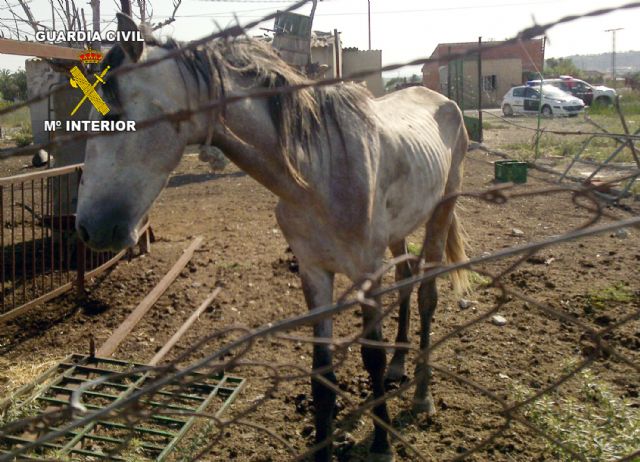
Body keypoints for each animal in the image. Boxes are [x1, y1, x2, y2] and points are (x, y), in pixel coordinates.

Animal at [76, 14, 469, 462]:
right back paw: (400, 370)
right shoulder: (314, 272)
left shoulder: (367, 272)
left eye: (113, 115)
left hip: (442, 211)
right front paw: (322, 448)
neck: (318, 171)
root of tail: (442, 100)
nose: (90, 227)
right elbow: (321, 370)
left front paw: (382, 444)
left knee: (426, 296)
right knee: (405, 282)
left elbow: (371, 356)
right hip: (400, 231)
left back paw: (422, 394)